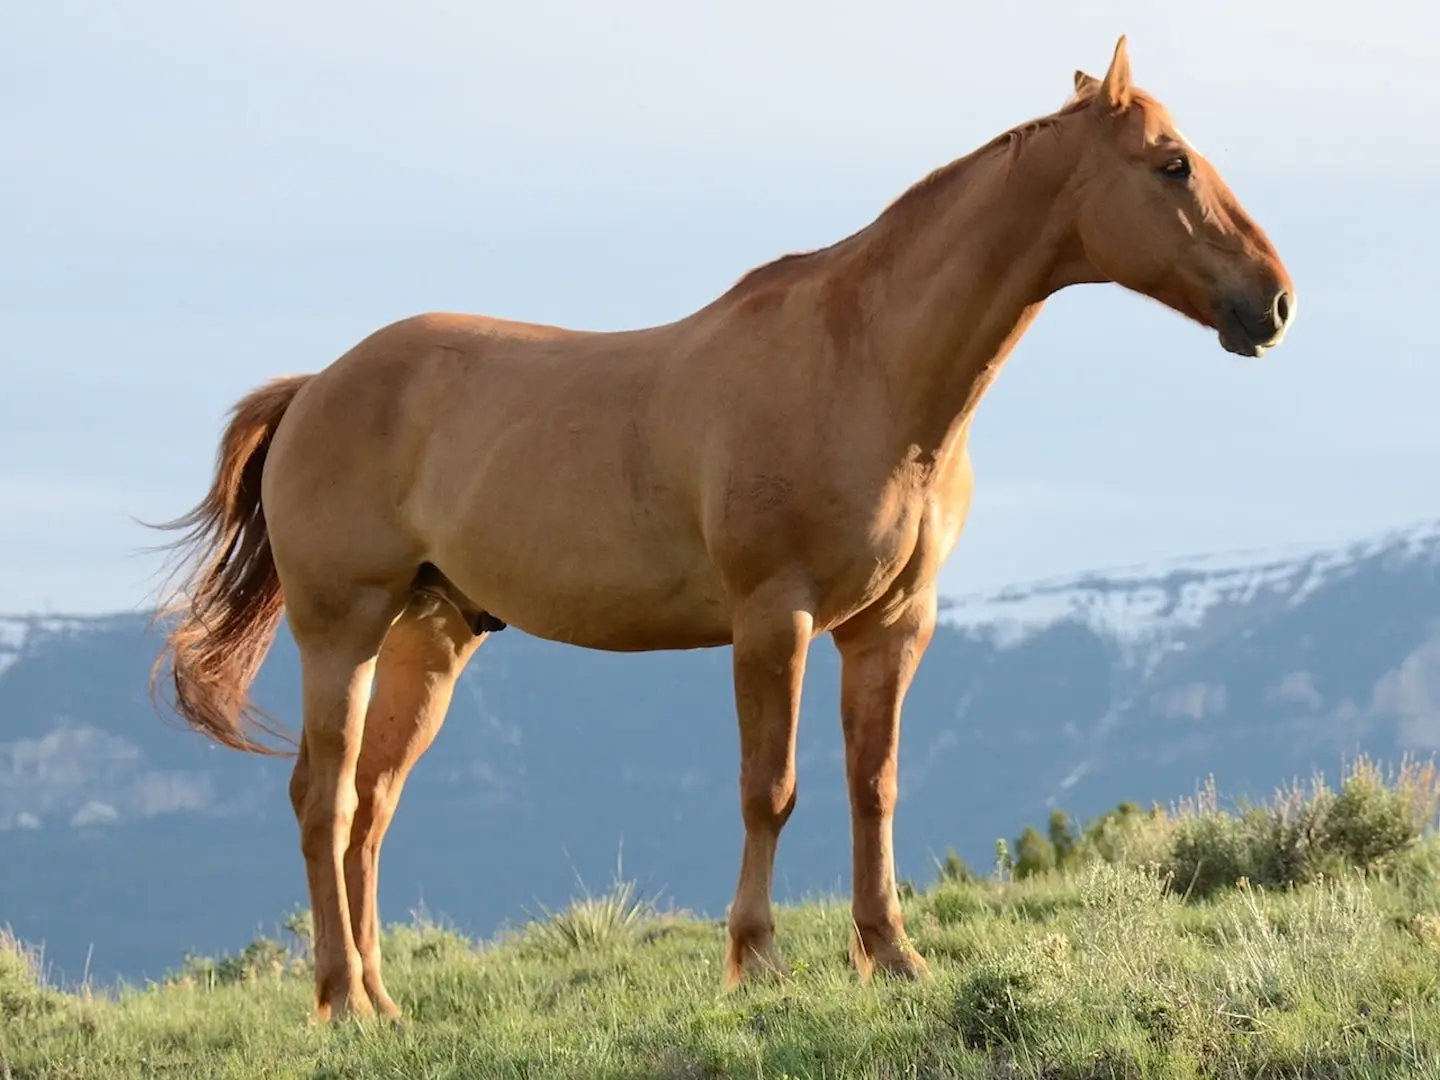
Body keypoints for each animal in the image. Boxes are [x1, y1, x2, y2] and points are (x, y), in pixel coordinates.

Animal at [151, 36, 1301, 1025]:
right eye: (1171, 164)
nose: (1276, 302)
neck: (865, 366)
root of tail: (315, 387)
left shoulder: (893, 625)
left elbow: (873, 787)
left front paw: (892, 956)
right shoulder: (772, 619)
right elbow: (771, 790)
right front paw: (756, 961)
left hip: (428, 637)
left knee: (373, 807)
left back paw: (384, 1003)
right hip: (341, 628)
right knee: (324, 799)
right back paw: (342, 1002)